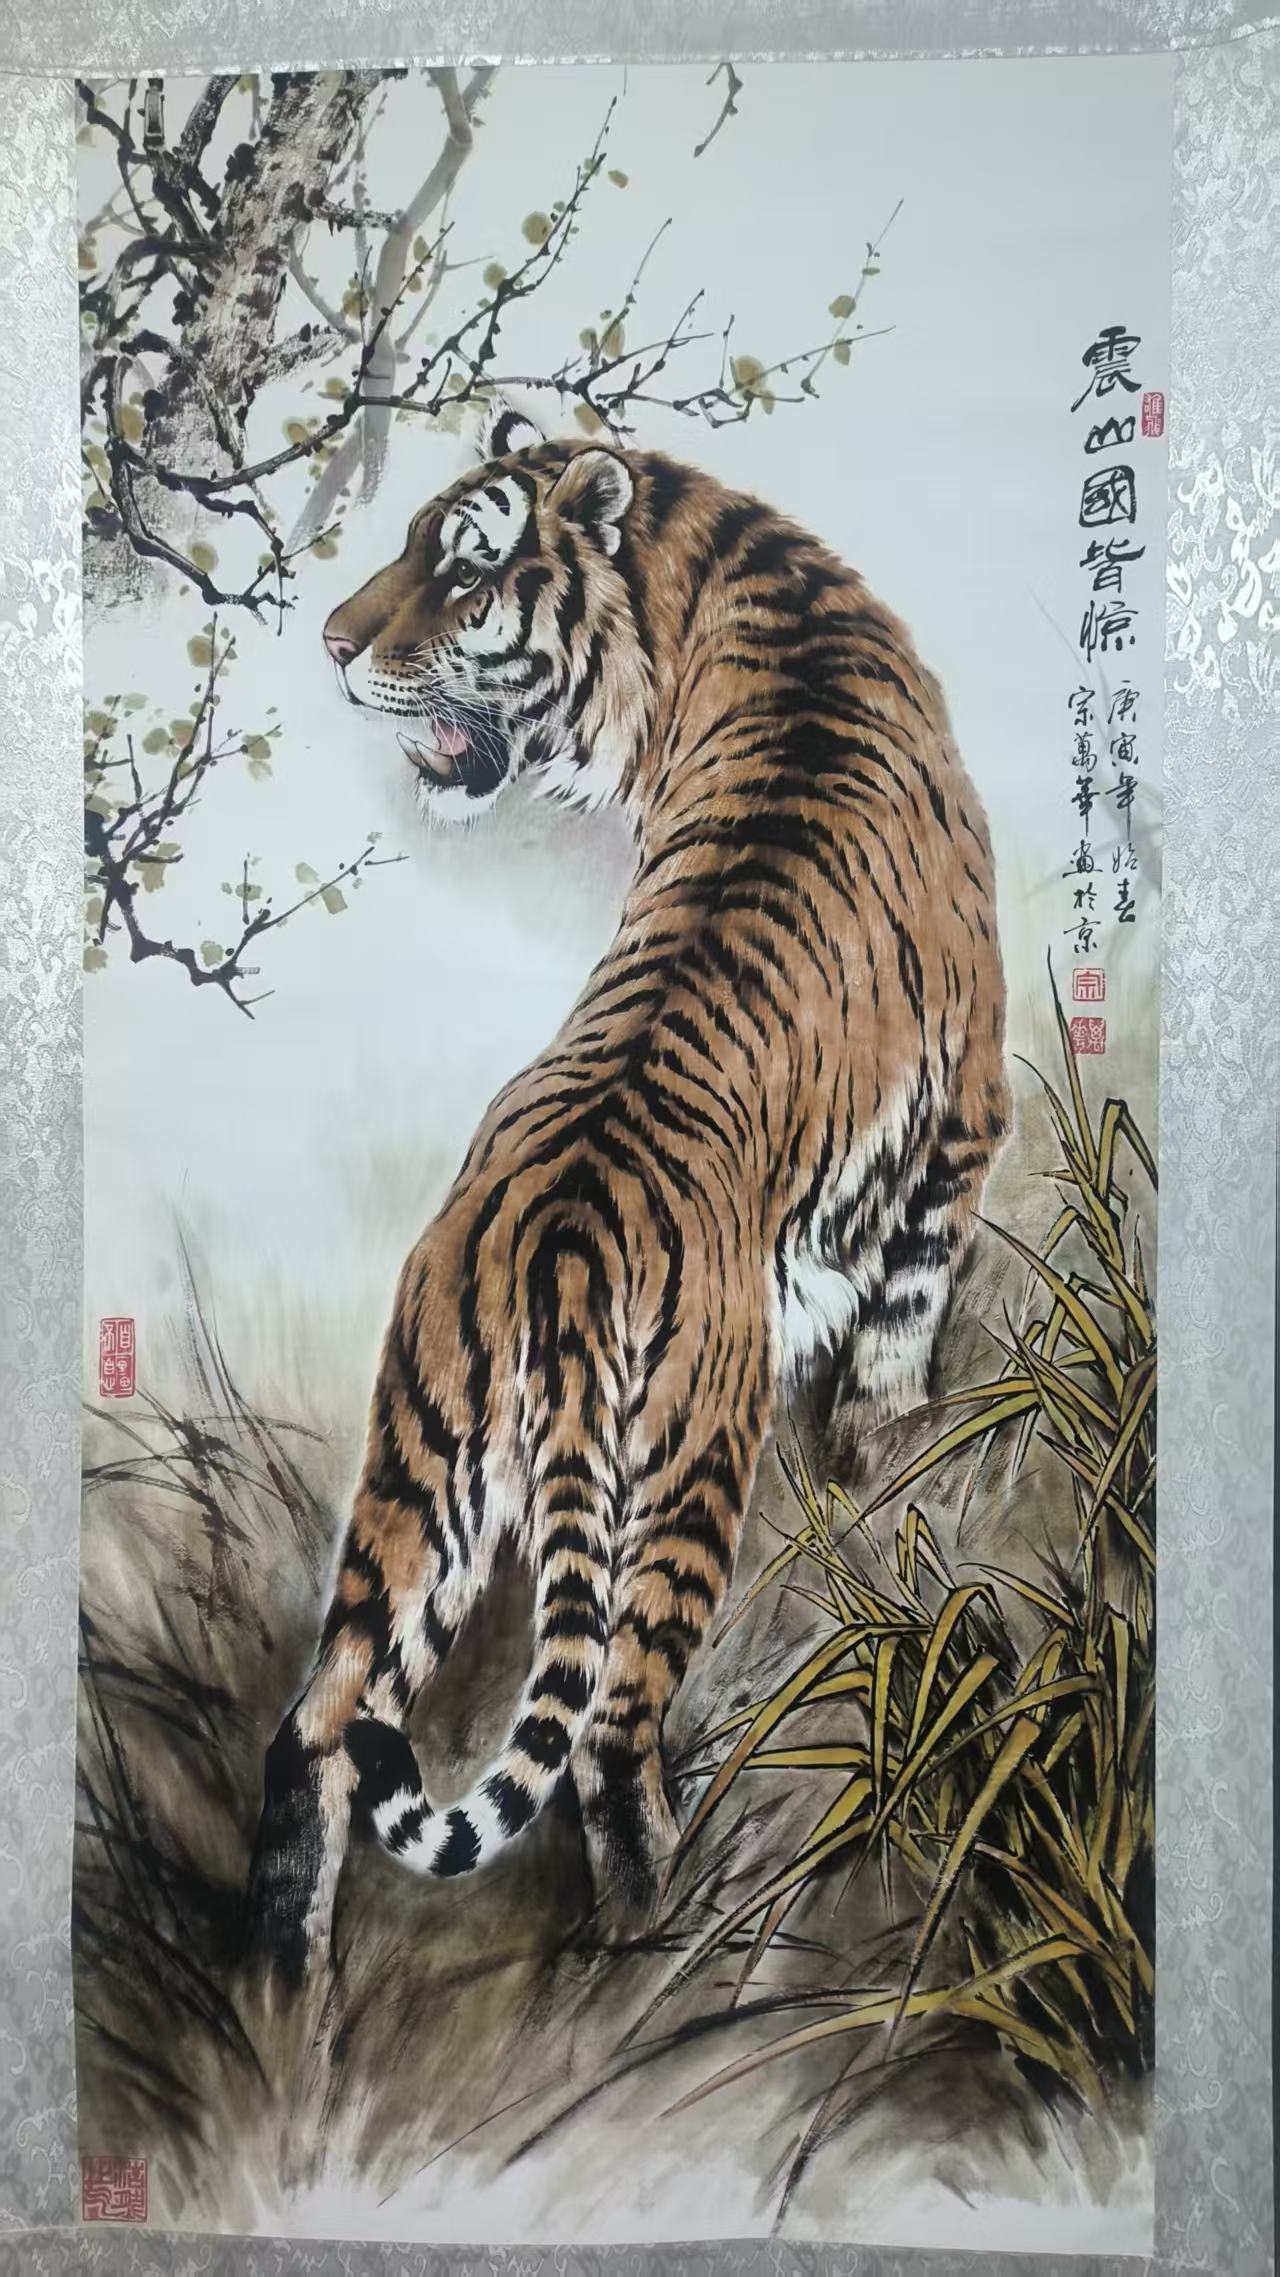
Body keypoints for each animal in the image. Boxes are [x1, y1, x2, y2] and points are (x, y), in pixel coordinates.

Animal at [247, 399, 1010, 1983]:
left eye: (462, 570)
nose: (334, 644)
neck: (711, 570)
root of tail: (554, 1235)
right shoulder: (967, 1105)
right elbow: (903, 1315)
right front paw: (889, 1451)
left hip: (421, 1467)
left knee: (322, 1726)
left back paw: (285, 1989)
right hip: (680, 1466)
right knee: (601, 1741)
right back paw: (663, 1946)